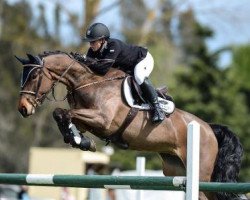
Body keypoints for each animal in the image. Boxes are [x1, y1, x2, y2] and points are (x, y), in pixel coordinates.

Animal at [15, 50, 244, 199]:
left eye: (34, 75)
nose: (23, 108)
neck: (88, 81)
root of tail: (208, 128)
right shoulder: (87, 120)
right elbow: (63, 116)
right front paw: (80, 141)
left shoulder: (103, 120)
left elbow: (63, 113)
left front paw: (81, 141)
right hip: (175, 169)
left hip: (203, 174)